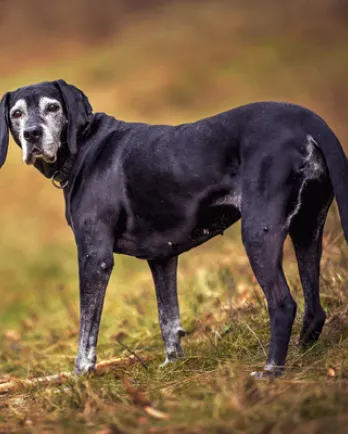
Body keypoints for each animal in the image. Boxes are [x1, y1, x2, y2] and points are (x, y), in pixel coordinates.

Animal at [0, 80, 348, 376]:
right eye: (16, 113)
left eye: (52, 107)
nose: (32, 134)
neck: (83, 147)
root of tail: (306, 119)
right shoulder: (162, 258)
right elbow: (168, 316)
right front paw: (173, 363)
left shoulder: (94, 257)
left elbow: (88, 329)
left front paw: (80, 376)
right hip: (308, 229)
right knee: (314, 306)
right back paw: (301, 353)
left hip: (258, 232)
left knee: (283, 303)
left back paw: (271, 370)